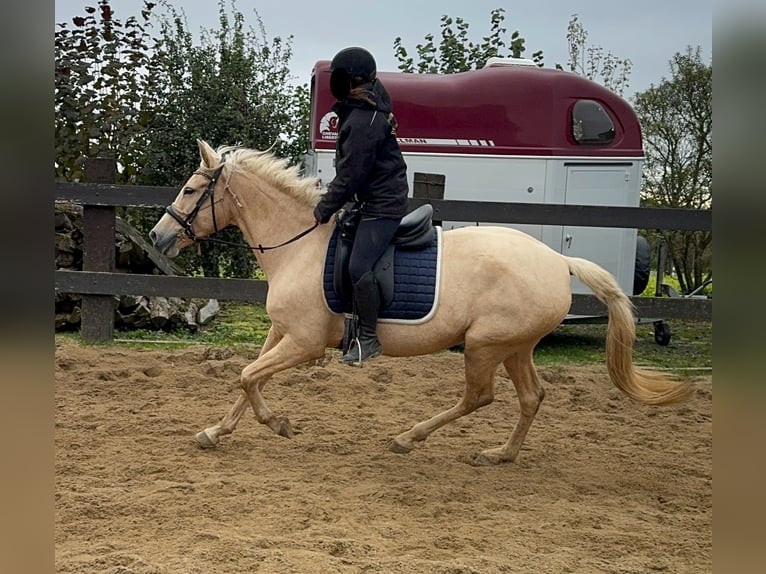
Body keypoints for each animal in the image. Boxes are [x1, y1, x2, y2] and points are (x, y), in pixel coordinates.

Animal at [152, 140, 696, 468]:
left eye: (191, 189)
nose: (158, 237)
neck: (300, 244)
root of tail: (558, 261)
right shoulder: (282, 333)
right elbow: (248, 378)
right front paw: (215, 431)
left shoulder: (305, 343)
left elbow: (248, 377)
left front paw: (279, 425)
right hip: (515, 348)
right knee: (530, 397)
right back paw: (500, 454)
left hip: (484, 346)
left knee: (480, 397)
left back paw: (409, 437)